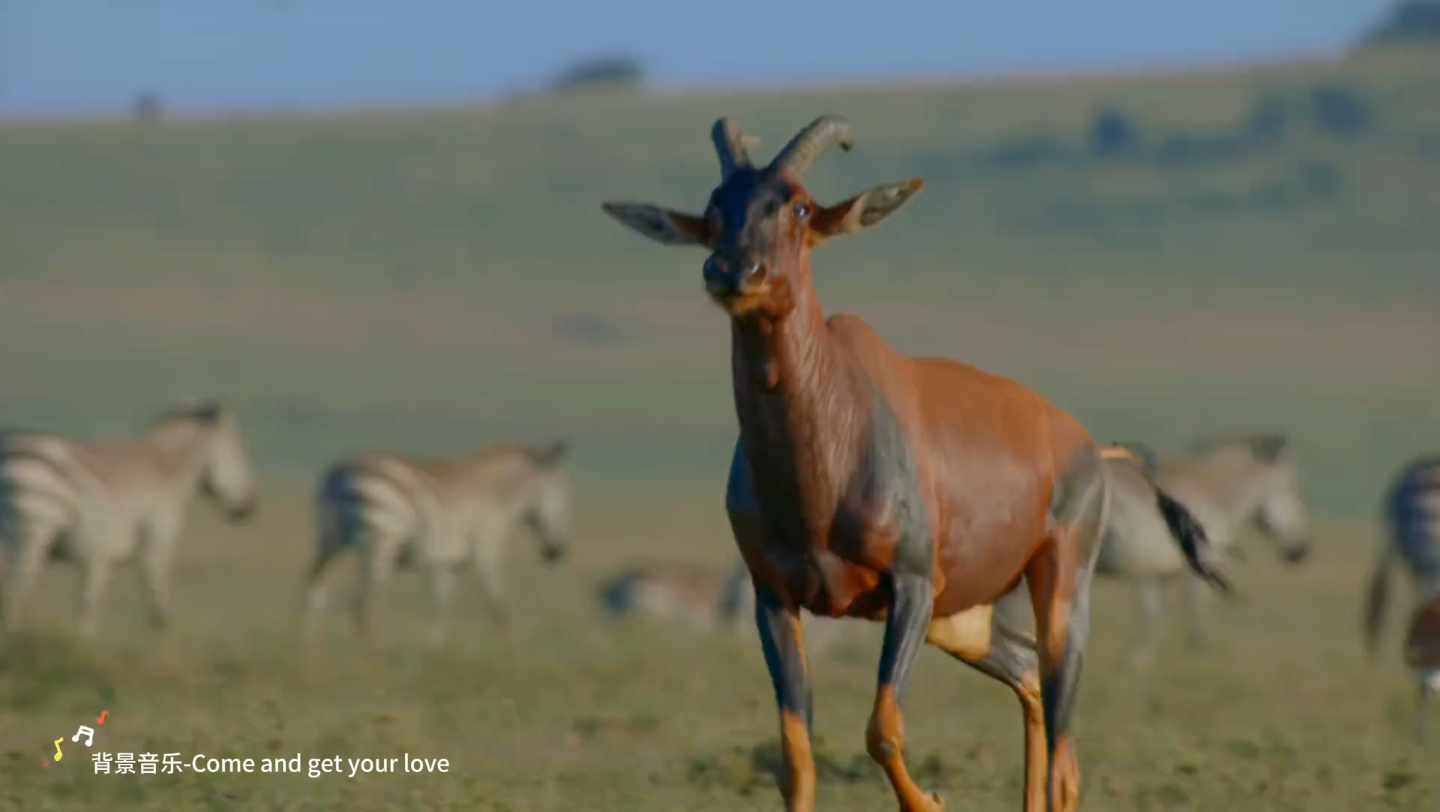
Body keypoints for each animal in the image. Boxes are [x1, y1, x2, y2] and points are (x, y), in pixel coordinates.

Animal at [0, 403, 256, 636]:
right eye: (238, 452)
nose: (251, 508)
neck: (164, 470)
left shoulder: (98, 558)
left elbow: (89, 606)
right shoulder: (155, 546)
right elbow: (157, 612)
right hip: (33, 531)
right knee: (14, 592)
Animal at [305, 437, 573, 647]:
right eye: (562, 495)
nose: (557, 552)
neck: (495, 492)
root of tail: (342, 474)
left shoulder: (446, 561)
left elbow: (441, 605)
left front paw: (434, 654)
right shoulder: (486, 549)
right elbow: (498, 604)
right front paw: (511, 657)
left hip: (329, 540)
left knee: (315, 588)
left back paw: (309, 657)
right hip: (380, 542)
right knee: (363, 609)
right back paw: (372, 663)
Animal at [596, 114, 1226, 812]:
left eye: (799, 206)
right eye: (713, 207)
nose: (733, 271)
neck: (838, 426)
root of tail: (1090, 445)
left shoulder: (913, 586)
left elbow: (882, 729)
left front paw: (932, 800)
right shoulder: (773, 598)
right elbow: (797, 756)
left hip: (1058, 585)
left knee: (1063, 750)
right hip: (964, 621)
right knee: (1028, 676)